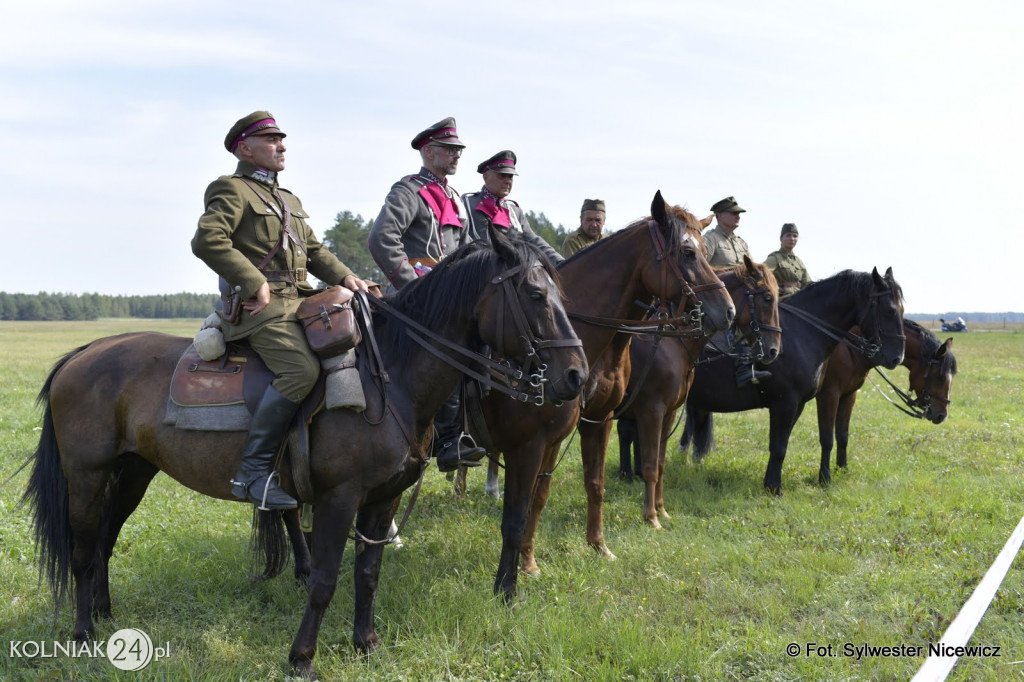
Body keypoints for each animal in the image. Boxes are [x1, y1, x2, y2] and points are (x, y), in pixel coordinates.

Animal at [22, 232, 585, 675]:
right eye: (536, 293)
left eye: (562, 293)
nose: (576, 376)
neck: (388, 377)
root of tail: (83, 353)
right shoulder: (339, 500)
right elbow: (323, 579)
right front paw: (302, 658)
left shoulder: (380, 501)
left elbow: (368, 574)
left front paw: (365, 645)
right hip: (87, 476)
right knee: (81, 549)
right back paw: (83, 634)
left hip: (134, 472)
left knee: (104, 541)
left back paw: (106, 616)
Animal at [614, 258, 782, 522]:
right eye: (766, 297)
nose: (774, 350)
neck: (671, 341)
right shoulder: (651, 412)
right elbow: (651, 462)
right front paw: (650, 515)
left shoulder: (668, 412)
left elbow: (659, 462)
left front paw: (661, 510)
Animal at [679, 266, 905, 493]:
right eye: (890, 310)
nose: (897, 357)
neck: (801, 334)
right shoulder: (793, 401)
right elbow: (793, 445)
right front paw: (783, 486)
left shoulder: (803, 404)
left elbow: (781, 443)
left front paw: (769, 484)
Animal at [811, 315, 954, 481]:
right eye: (940, 377)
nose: (942, 415)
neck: (849, 348)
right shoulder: (829, 395)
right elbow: (827, 439)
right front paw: (824, 478)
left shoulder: (848, 395)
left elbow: (842, 436)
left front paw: (842, 469)